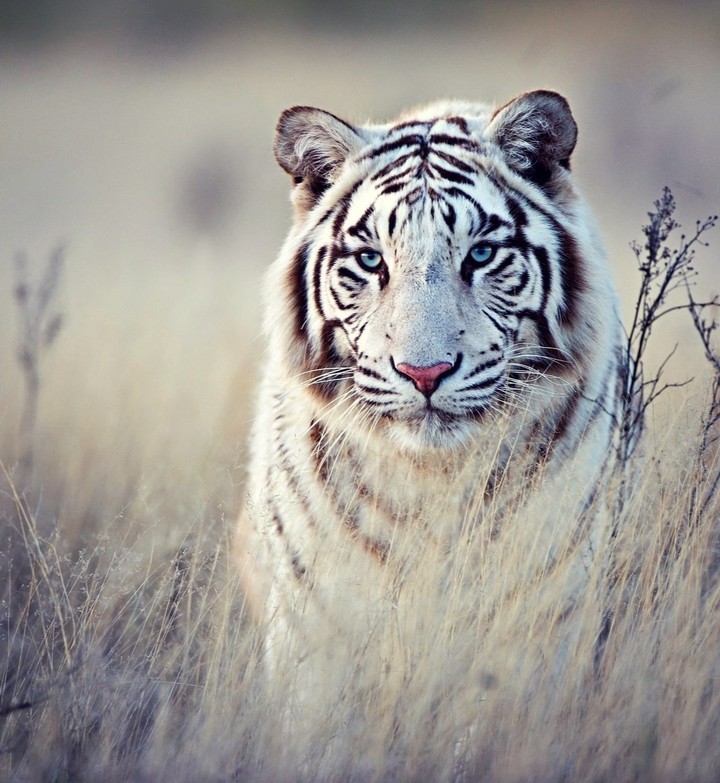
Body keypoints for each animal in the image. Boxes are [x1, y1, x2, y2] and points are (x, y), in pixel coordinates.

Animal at [235, 90, 626, 760]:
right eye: (371, 261)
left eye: (481, 254)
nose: (425, 372)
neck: (434, 482)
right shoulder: (319, 638)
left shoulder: (535, 628)